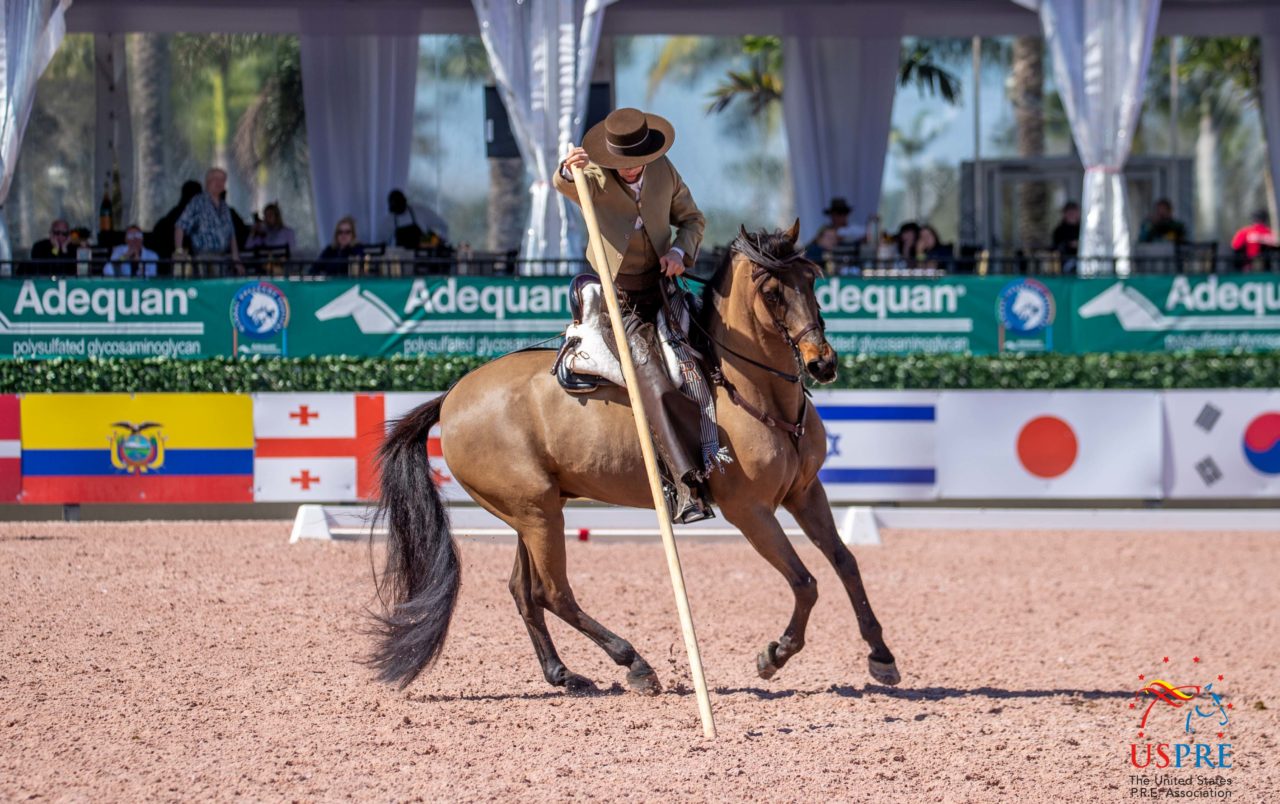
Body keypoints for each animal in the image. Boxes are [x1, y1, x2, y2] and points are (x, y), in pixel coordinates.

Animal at [371, 221, 901, 696]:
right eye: (771, 292)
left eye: (811, 280)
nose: (822, 363)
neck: (751, 390)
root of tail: (451, 396)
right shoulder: (751, 513)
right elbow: (805, 581)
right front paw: (774, 654)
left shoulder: (806, 493)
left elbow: (845, 562)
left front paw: (882, 656)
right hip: (537, 513)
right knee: (552, 592)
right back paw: (636, 664)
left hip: (531, 511)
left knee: (524, 591)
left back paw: (565, 676)